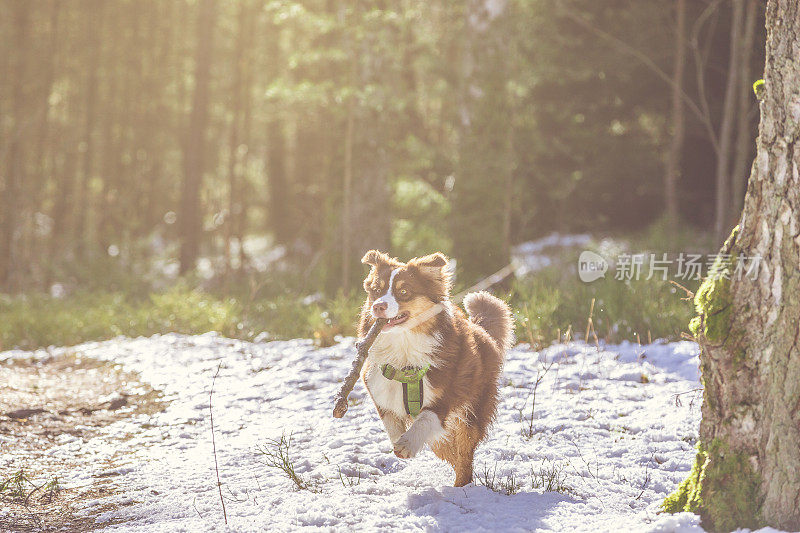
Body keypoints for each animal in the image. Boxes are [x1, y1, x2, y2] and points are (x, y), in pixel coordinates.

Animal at [358, 249, 512, 486]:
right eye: (376, 290)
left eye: (404, 291)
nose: (378, 306)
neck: (404, 348)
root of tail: (482, 332)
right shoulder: (378, 387)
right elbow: (390, 422)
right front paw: (399, 440)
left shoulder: (445, 395)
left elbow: (425, 419)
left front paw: (407, 445)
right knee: (449, 451)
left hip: (472, 411)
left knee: (464, 457)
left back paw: (461, 486)